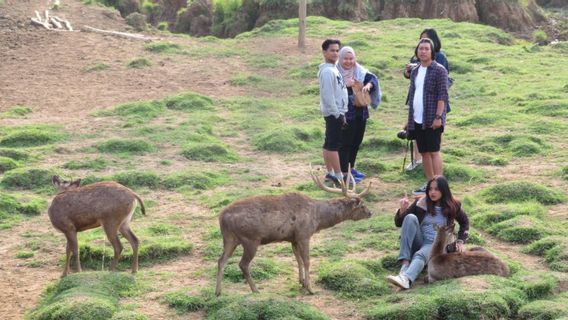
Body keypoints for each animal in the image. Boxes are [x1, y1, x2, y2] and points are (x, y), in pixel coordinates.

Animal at [214, 168, 372, 296]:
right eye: (362, 206)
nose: (371, 213)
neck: (317, 218)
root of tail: (222, 217)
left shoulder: (293, 238)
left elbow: (298, 259)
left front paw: (301, 282)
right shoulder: (304, 234)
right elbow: (307, 260)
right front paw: (310, 288)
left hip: (229, 238)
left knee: (221, 260)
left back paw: (218, 292)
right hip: (251, 239)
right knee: (243, 264)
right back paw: (255, 290)